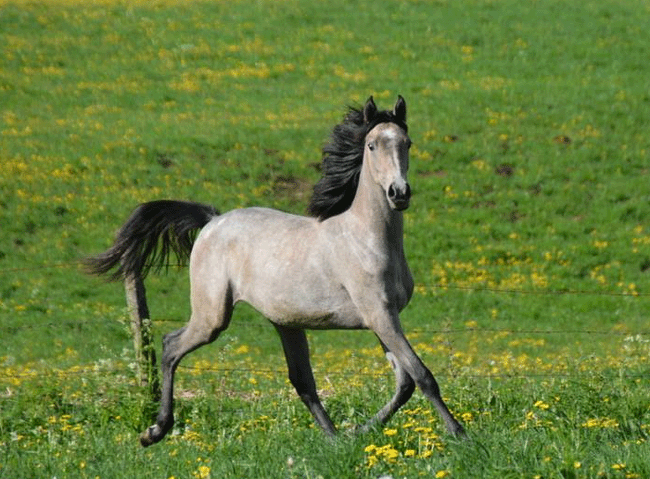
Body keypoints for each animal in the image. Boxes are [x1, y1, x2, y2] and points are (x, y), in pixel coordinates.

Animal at [86, 95, 464, 448]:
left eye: (407, 143)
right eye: (372, 145)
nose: (399, 193)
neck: (366, 238)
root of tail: (211, 222)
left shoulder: (382, 319)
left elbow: (405, 383)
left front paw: (360, 431)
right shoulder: (380, 315)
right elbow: (423, 376)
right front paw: (460, 434)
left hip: (286, 323)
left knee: (302, 381)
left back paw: (334, 439)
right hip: (213, 316)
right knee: (170, 346)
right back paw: (154, 431)